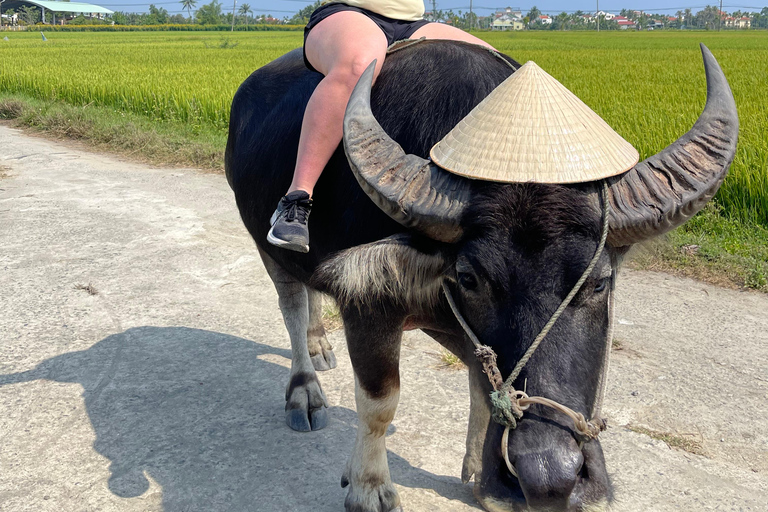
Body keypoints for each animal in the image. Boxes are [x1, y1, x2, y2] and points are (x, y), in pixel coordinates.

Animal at [224, 41, 736, 512]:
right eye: (469, 278)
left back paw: (319, 345)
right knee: (291, 301)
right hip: (265, 242)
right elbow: (379, 401)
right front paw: (368, 487)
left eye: (599, 282)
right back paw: (304, 391)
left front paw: (476, 472)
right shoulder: (368, 305)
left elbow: (477, 380)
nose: (548, 477)